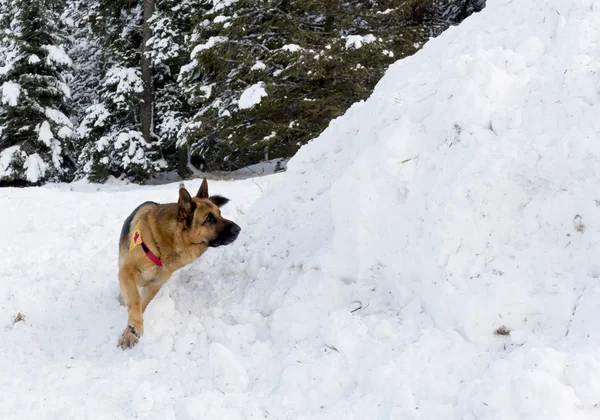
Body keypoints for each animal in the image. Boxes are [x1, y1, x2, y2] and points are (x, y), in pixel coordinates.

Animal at [117, 176, 239, 348]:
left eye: (220, 213)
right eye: (209, 219)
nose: (238, 229)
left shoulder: (154, 286)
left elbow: (142, 304)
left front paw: (129, 333)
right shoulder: (127, 271)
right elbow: (134, 299)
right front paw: (134, 327)